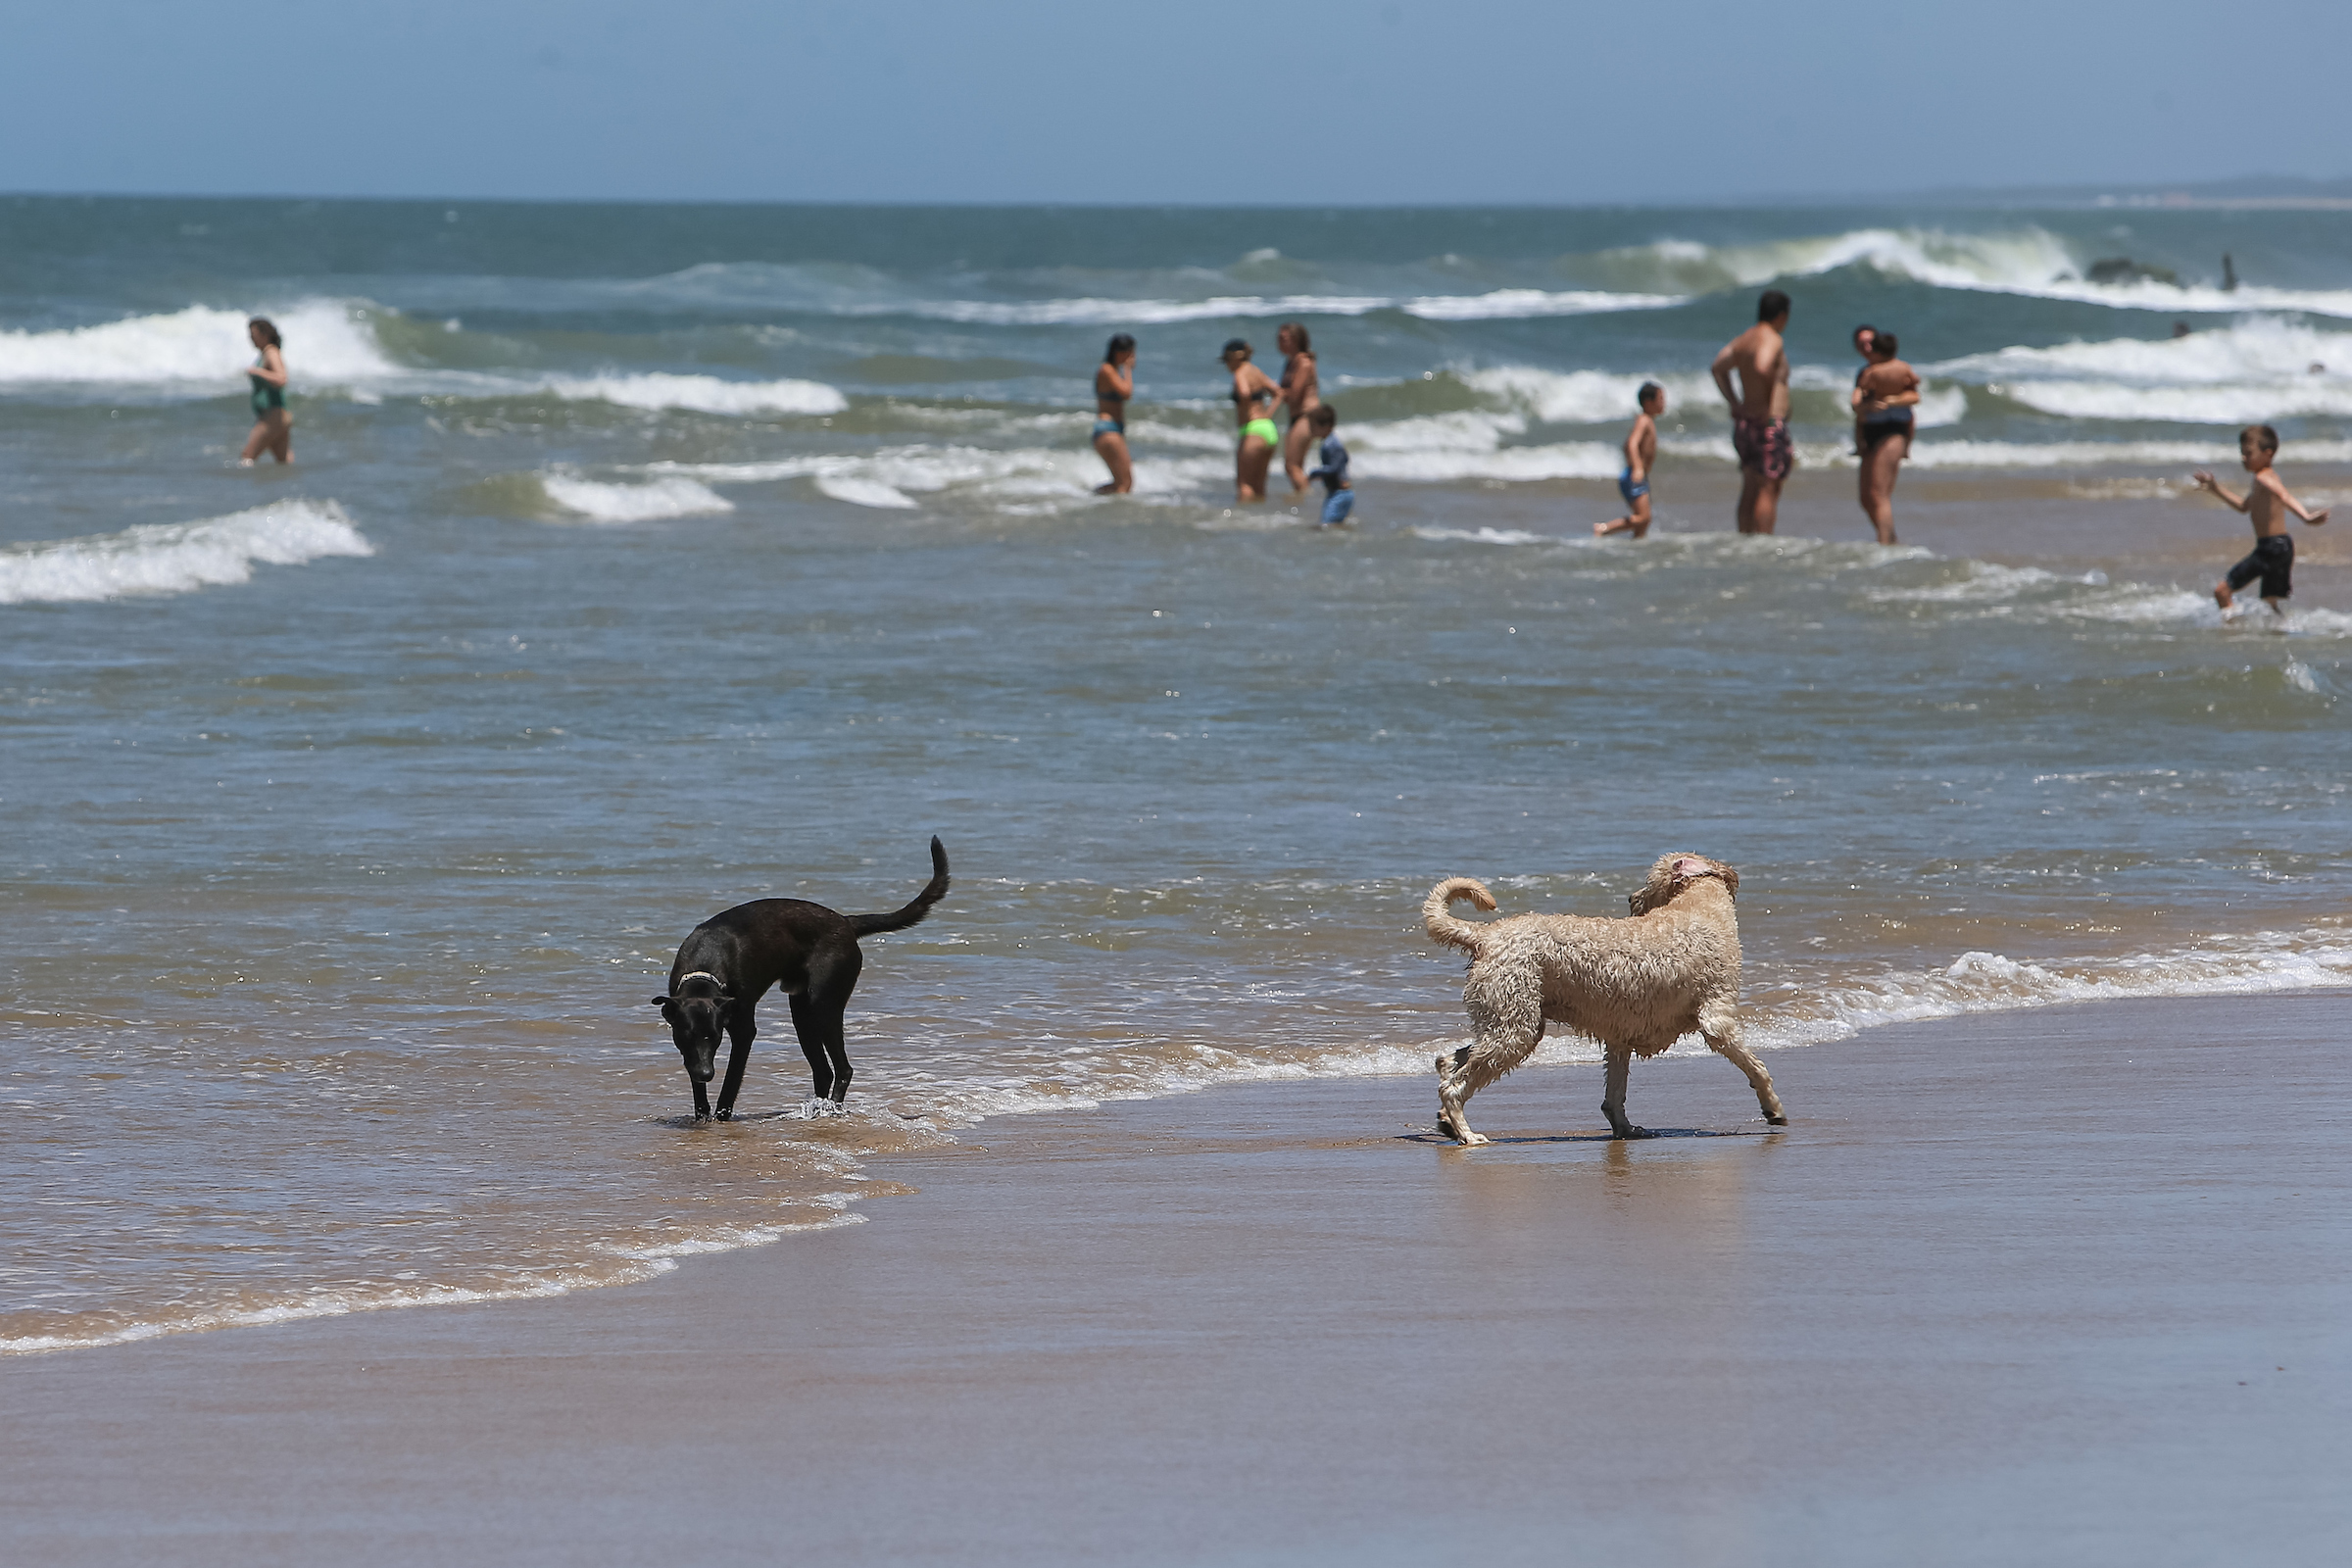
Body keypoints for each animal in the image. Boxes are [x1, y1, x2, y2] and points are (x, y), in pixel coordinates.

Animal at [649, 841, 950, 1123]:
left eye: (715, 1037)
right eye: (686, 1035)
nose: (706, 1073)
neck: (705, 966)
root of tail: (846, 922)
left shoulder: (743, 1031)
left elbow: (732, 1080)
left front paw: (721, 1116)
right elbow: (696, 1082)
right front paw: (701, 1115)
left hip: (823, 1006)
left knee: (843, 1068)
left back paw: (830, 1110)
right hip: (802, 1015)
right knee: (823, 1071)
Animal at [1430, 851, 1778, 1147]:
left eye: (1648, 881)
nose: (1631, 898)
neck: (1697, 903)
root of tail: (1486, 935)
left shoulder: (1620, 1033)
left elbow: (1614, 1095)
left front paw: (1625, 1129)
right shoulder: (1716, 1018)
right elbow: (1756, 1067)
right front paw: (1773, 1108)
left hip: (1507, 1021)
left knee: (1447, 1061)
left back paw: (1448, 1121)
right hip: (1514, 1025)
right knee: (1453, 1086)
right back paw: (1466, 1133)